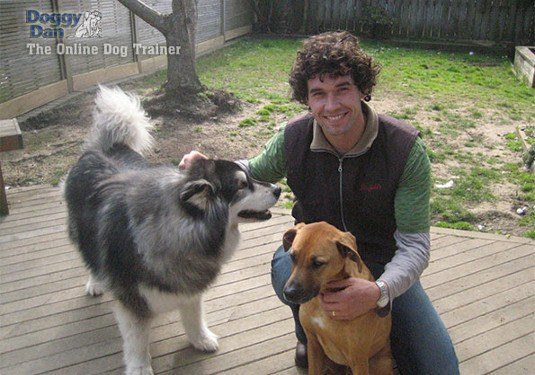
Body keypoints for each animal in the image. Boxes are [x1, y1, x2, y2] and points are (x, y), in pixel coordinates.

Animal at [63, 86, 280, 374]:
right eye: (242, 185)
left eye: (250, 177)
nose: (279, 189)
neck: (178, 230)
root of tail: (107, 146)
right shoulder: (132, 301)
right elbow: (137, 340)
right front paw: (140, 367)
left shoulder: (189, 286)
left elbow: (193, 315)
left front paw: (200, 340)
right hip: (82, 231)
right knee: (90, 255)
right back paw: (96, 281)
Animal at [282, 222, 392, 374]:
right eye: (293, 257)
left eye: (318, 263)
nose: (288, 293)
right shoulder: (313, 345)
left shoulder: (358, 358)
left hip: (379, 364)